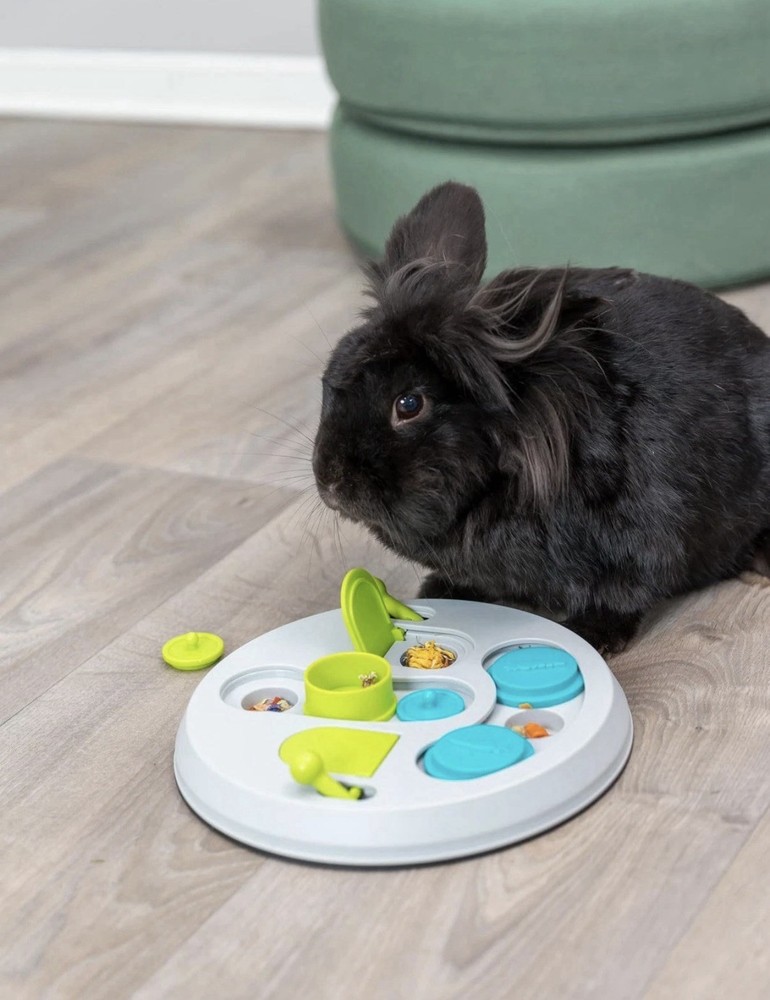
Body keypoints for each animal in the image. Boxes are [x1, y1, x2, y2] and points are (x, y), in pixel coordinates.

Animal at [312, 181, 770, 653]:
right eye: (327, 382)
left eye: (408, 404)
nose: (330, 484)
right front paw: (440, 591)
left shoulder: (642, 539)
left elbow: (622, 596)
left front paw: (593, 637)